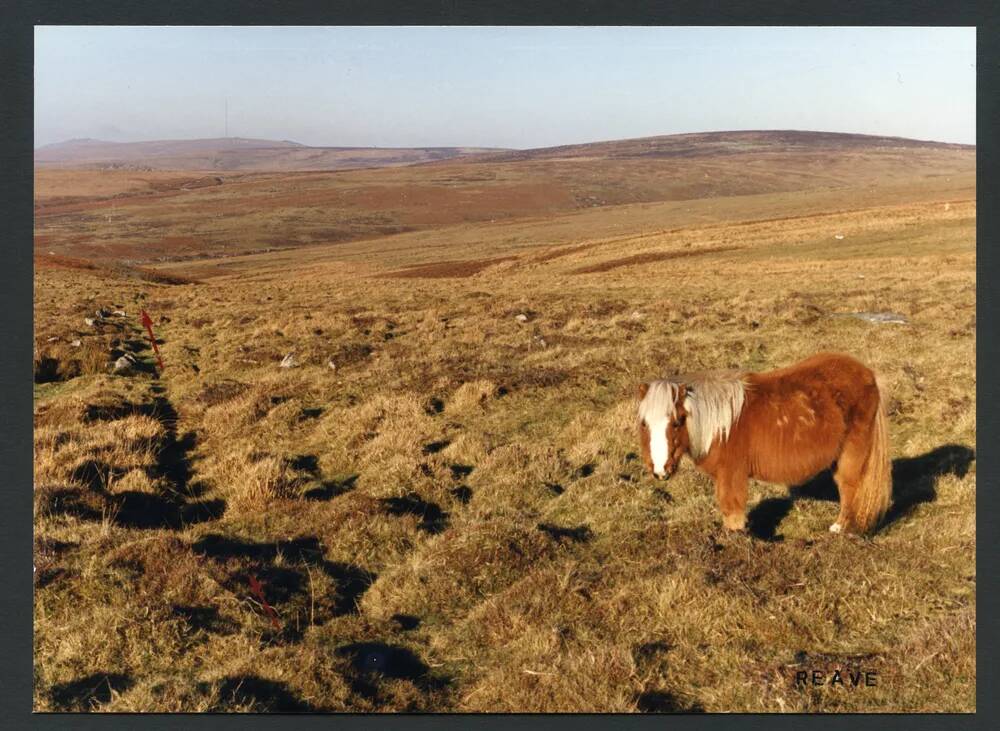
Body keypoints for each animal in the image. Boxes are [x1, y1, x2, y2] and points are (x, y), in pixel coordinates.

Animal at [640, 352, 892, 536]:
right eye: (644, 424)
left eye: (677, 421)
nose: (660, 471)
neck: (720, 424)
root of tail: (867, 373)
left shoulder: (731, 474)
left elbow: (732, 509)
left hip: (853, 452)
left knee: (850, 487)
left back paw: (840, 528)